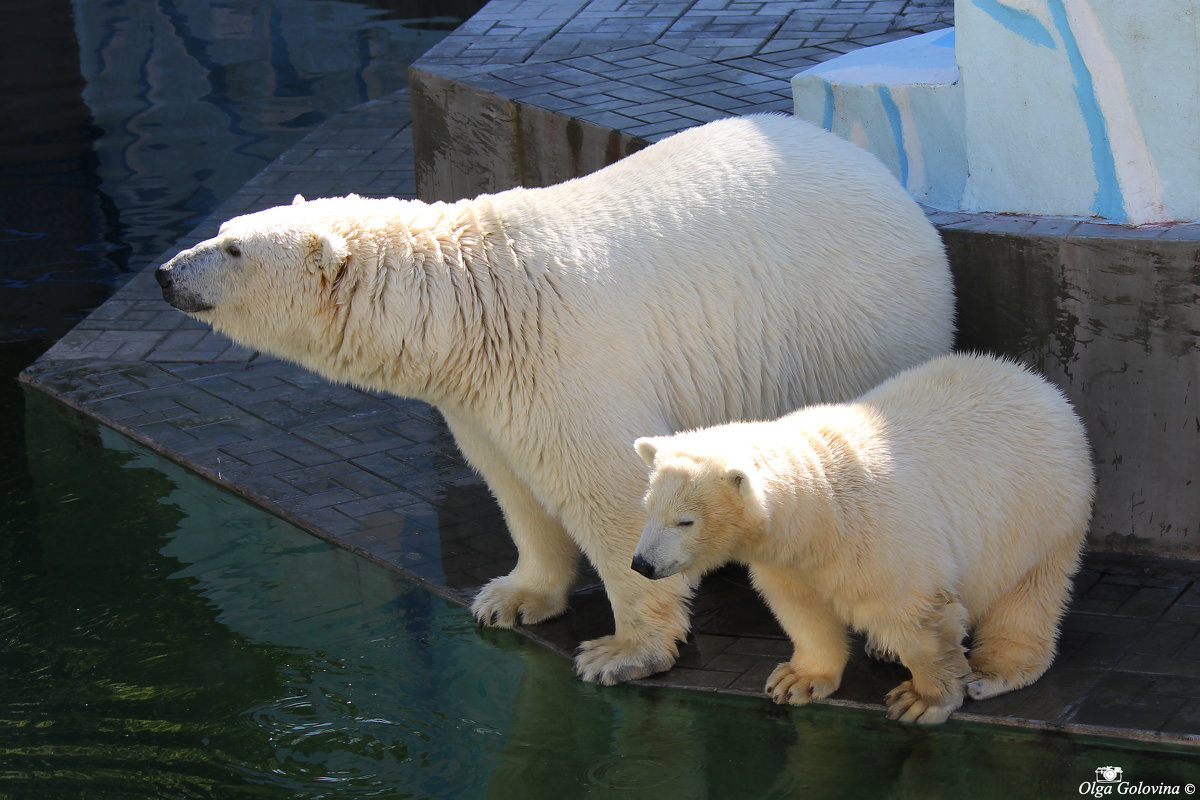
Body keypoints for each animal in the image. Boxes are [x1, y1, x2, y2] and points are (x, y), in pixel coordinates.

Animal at [154, 115, 950, 686]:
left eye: (233, 250)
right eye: (222, 232)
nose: (165, 273)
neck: (474, 302)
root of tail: (888, 180)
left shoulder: (562, 357)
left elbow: (609, 488)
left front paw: (623, 650)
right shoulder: (481, 392)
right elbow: (513, 485)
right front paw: (510, 596)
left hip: (851, 317)